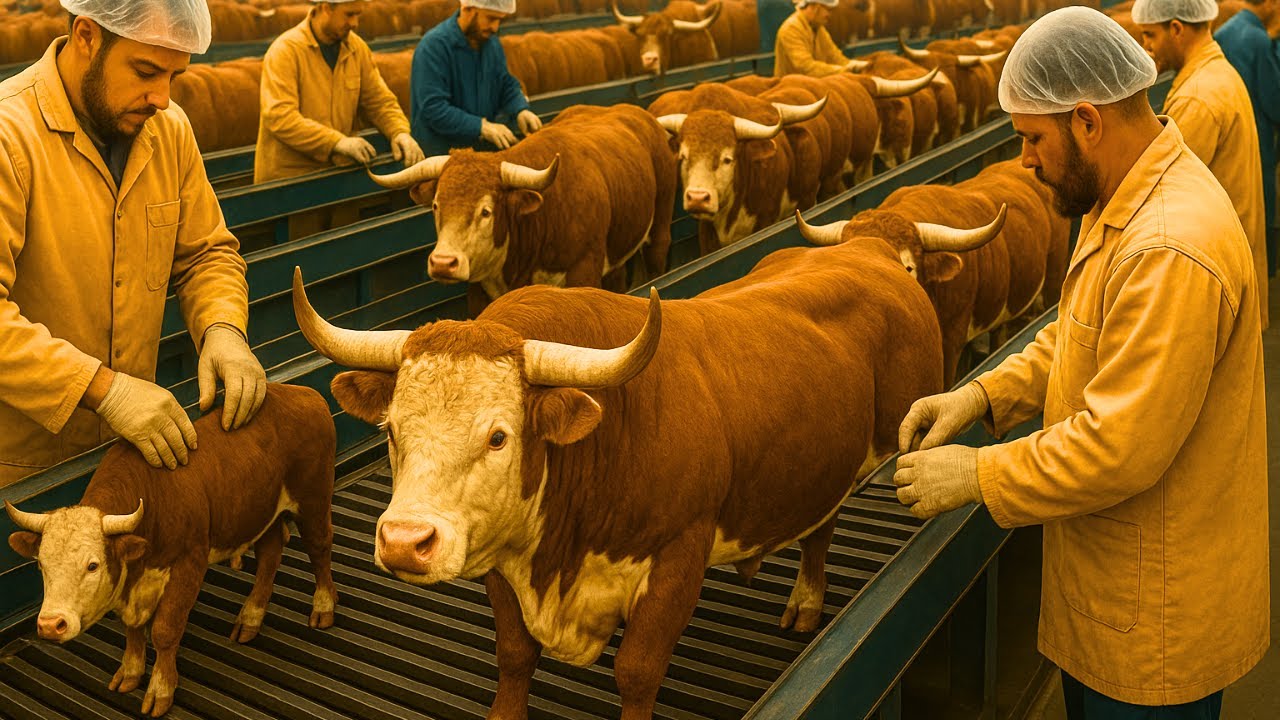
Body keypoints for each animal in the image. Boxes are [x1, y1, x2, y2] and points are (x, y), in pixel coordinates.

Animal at [4, 383, 337, 718]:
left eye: (92, 565)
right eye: (41, 565)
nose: (50, 625)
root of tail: (301, 392)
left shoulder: (189, 563)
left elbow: (165, 630)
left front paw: (160, 689)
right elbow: (133, 628)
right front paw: (131, 671)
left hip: (313, 498)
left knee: (320, 548)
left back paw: (323, 606)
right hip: (261, 511)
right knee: (269, 556)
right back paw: (250, 618)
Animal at [289, 190, 974, 714]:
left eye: (498, 436)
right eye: (391, 431)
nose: (405, 542)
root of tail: (870, 252)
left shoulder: (678, 557)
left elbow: (637, 671)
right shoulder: (502, 556)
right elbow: (514, 657)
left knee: (821, 531)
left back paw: (805, 602)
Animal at [368, 104, 677, 317]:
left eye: (486, 211)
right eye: (435, 205)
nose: (444, 263)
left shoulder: (584, 270)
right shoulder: (478, 292)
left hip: (661, 220)